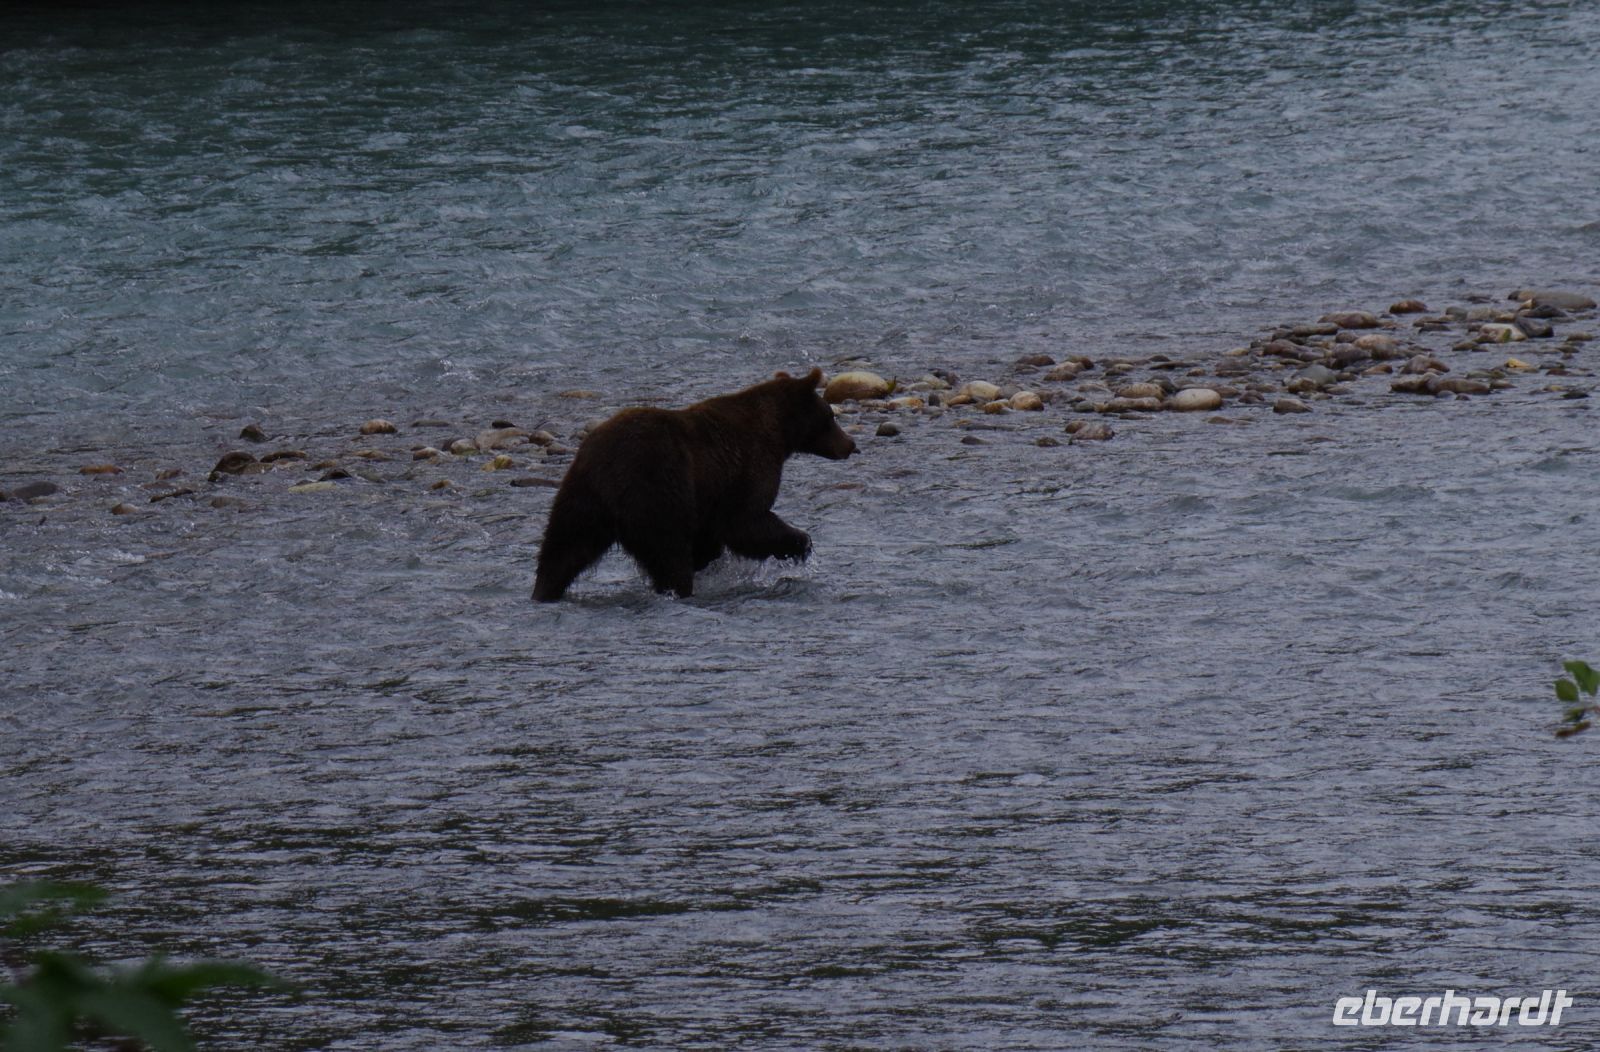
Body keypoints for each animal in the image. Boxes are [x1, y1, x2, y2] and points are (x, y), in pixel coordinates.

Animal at [531, 367, 857, 601]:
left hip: (582, 497)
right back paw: (680, 588)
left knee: (563, 549)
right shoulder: (748, 467)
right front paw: (801, 544)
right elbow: (746, 521)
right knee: (668, 551)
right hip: (655, 487)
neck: (779, 433)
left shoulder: (709, 496)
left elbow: (713, 535)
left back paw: (544, 591)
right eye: (830, 415)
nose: (850, 444)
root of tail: (604, 464)